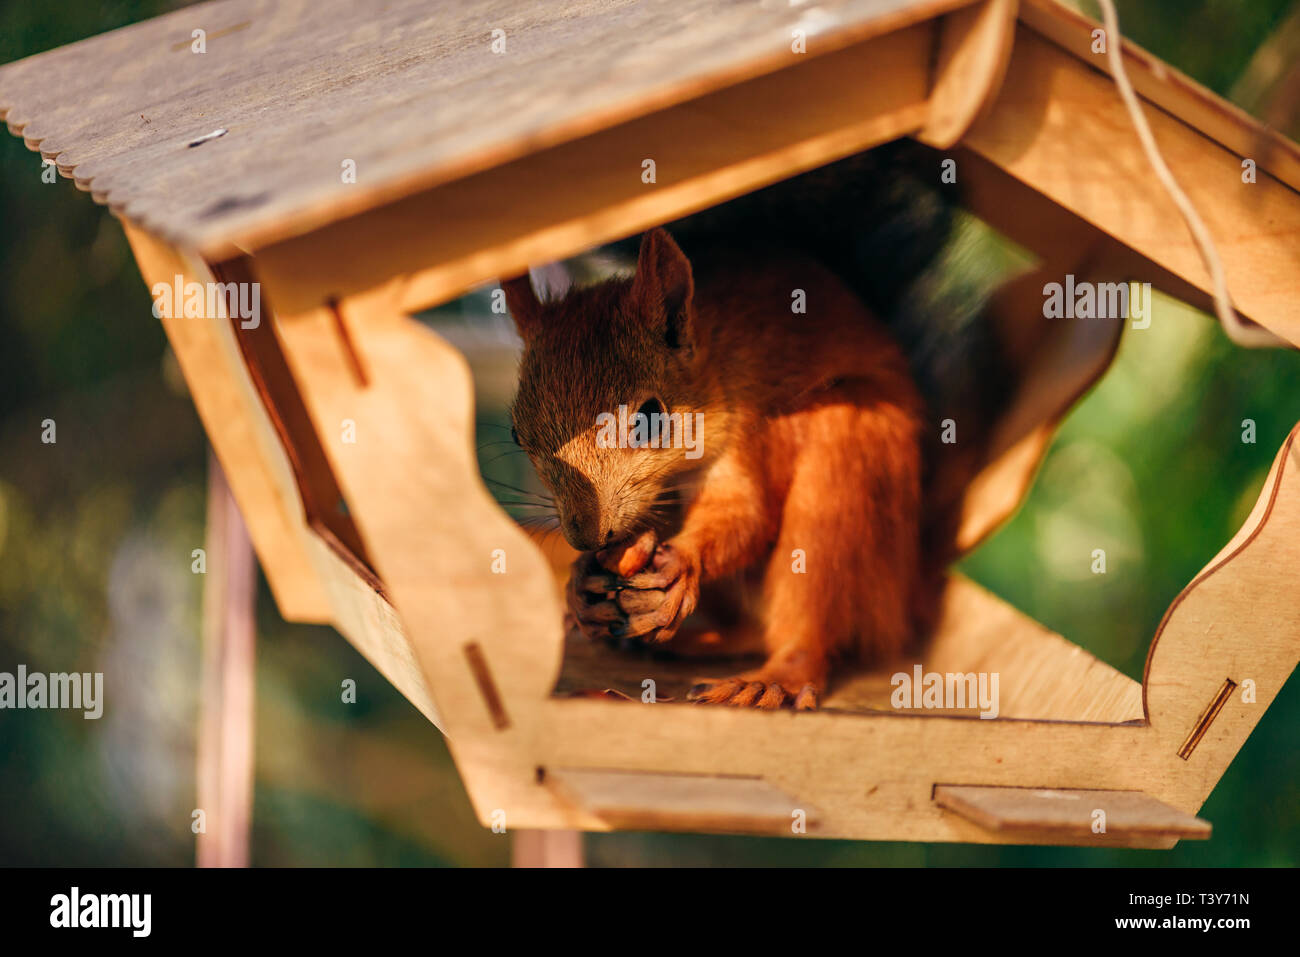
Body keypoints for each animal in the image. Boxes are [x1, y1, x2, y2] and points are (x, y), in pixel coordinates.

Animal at [503, 141, 1005, 709]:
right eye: (517, 432)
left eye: (651, 417)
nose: (585, 536)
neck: (712, 361)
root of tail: (908, 589)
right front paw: (581, 585)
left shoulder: (743, 432)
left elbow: (744, 514)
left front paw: (682, 559)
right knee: (749, 631)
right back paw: (686, 643)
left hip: (846, 476)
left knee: (808, 625)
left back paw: (773, 678)